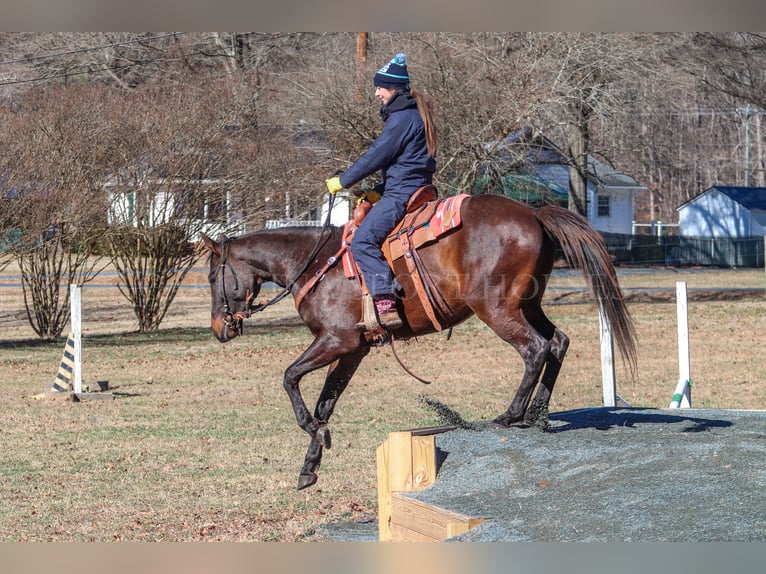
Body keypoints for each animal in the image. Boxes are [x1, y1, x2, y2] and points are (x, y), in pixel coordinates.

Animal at [201, 194, 640, 490]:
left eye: (210, 276)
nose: (220, 328)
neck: (314, 264)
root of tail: (533, 214)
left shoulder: (336, 340)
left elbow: (290, 377)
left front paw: (312, 431)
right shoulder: (353, 350)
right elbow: (326, 401)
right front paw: (311, 463)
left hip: (497, 309)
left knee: (536, 348)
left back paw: (511, 414)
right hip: (527, 305)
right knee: (558, 342)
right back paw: (537, 413)